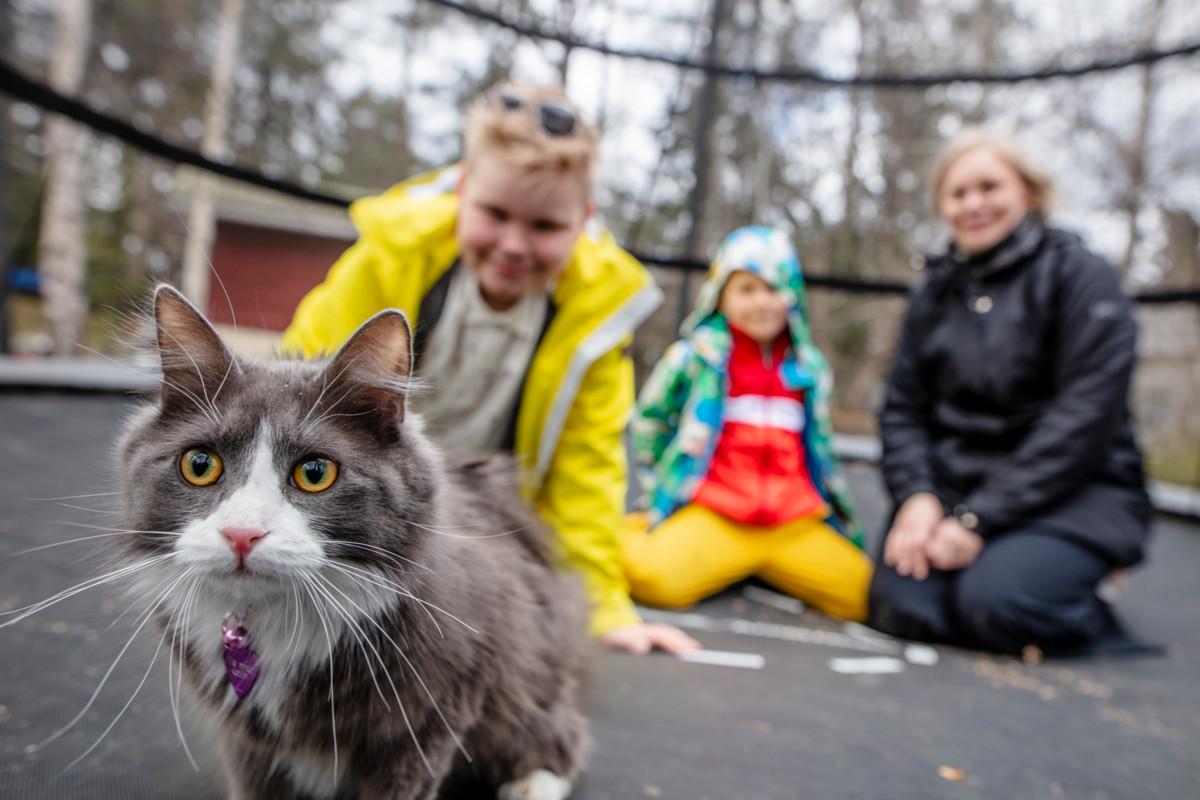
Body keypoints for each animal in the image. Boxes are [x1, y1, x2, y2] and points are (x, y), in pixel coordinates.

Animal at [118, 287, 590, 800]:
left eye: (315, 473)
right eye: (200, 465)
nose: (242, 533)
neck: (277, 624)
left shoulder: (424, 726)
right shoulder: (250, 745)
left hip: (527, 689)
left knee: (559, 737)